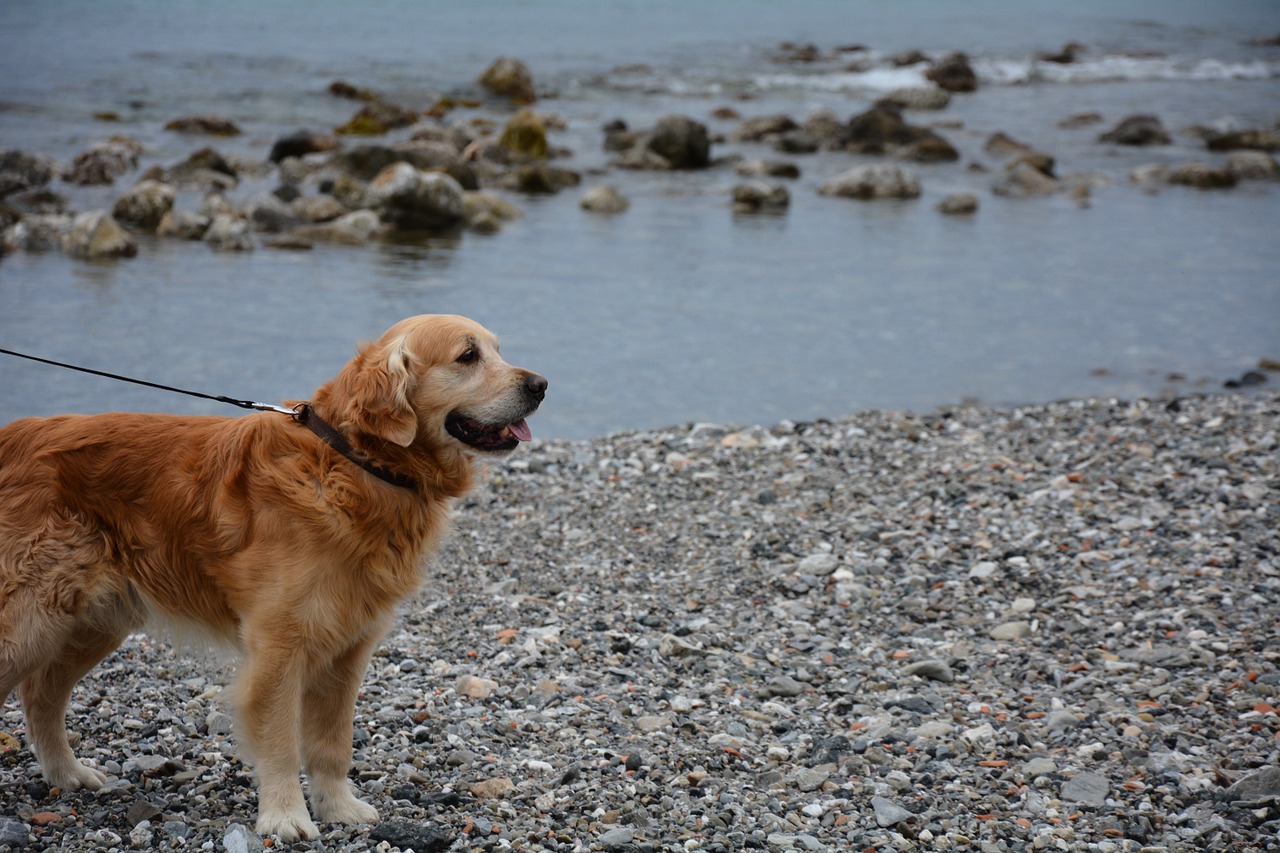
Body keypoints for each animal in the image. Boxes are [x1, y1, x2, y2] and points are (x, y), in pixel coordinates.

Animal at [0, 313, 545, 835]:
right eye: (468, 356)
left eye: (497, 350)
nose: (541, 384)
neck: (354, 463)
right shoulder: (280, 647)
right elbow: (281, 743)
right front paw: (285, 817)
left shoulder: (349, 649)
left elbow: (332, 743)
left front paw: (338, 807)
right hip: (30, 624)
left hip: (91, 621)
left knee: (41, 694)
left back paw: (67, 774)